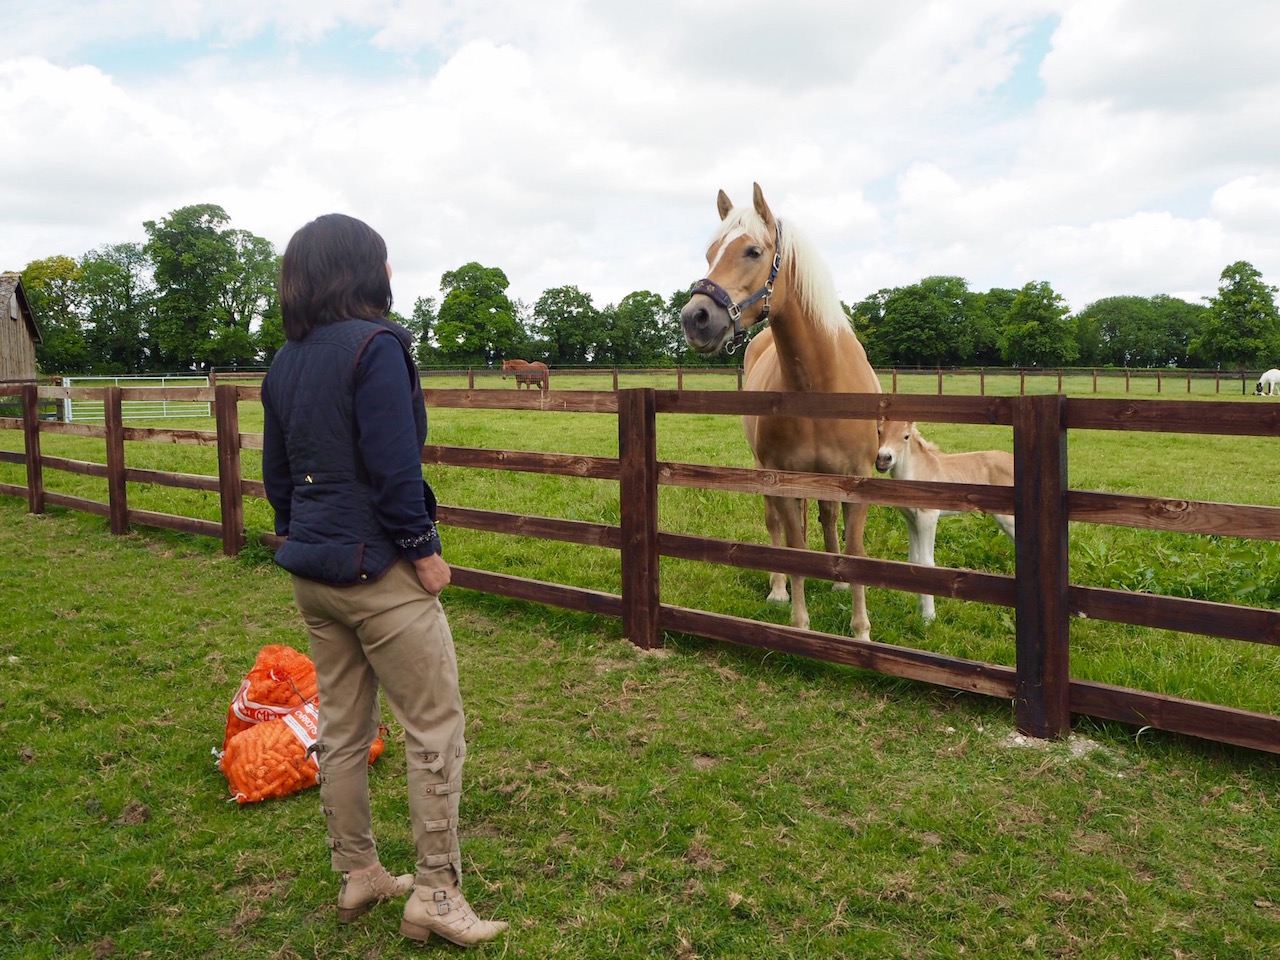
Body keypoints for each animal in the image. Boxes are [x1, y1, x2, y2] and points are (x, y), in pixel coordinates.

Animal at [680, 184, 880, 642]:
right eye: (710, 253)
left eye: (753, 251)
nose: (695, 318)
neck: (820, 383)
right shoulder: (784, 478)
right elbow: (794, 546)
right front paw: (800, 623)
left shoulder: (856, 482)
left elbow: (854, 548)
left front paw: (861, 630)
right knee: (776, 526)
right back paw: (777, 589)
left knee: (825, 518)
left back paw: (836, 581)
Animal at [875, 419, 1013, 624]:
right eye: (879, 431)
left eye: (906, 436)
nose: (883, 459)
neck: (918, 471)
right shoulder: (911, 519)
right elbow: (914, 561)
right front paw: (919, 610)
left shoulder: (928, 517)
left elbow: (926, 563)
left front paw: (928, 618)